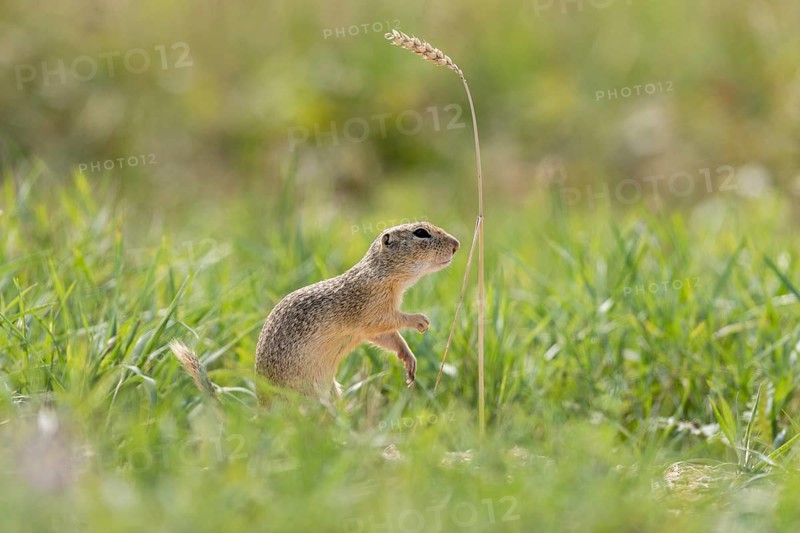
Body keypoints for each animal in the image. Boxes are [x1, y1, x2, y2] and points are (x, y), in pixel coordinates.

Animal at [171, 221, 460, 400]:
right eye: (421, 233)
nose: (457, 244)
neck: (381, 274)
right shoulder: (371, 307)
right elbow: (388, 321)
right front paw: (420, 320)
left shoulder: (371, 326)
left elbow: (387, 337)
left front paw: (408, 360)